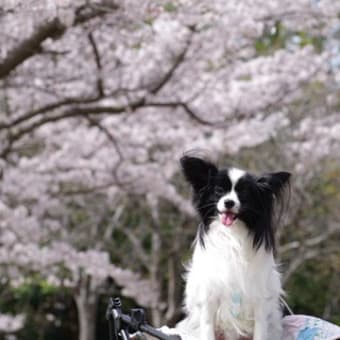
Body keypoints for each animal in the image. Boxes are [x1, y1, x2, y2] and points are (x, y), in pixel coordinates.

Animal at [164, 156, 290, 340]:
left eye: (243, 193)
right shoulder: (209, 294)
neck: (232, 235)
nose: (229, 202)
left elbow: (260, 330)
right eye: (219, 191)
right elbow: (207, 327)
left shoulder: (259, 298)